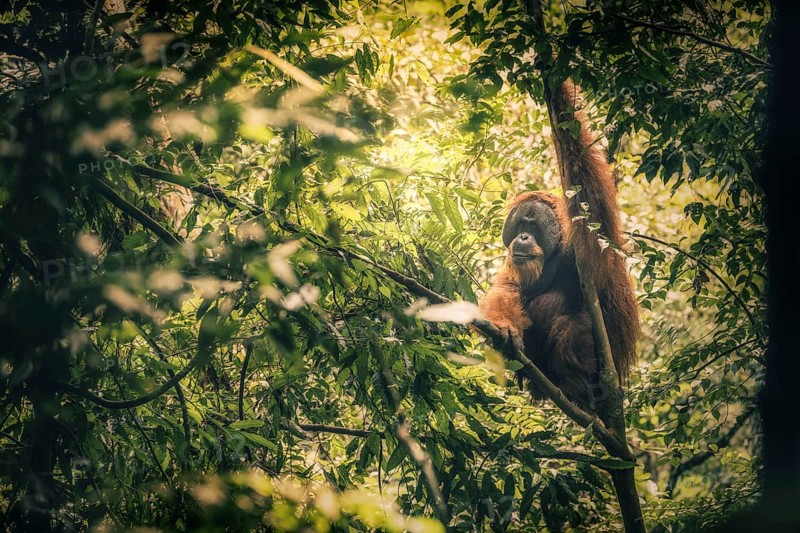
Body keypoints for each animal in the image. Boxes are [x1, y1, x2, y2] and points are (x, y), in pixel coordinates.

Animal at [479, 79, 639, 409]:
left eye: (532, 225)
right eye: (521, 225)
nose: (522, 237)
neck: (555, 256)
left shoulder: (589, 235)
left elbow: (584, 185)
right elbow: (506, 290)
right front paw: (504, 328)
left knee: (569, 319)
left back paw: (581, 387)